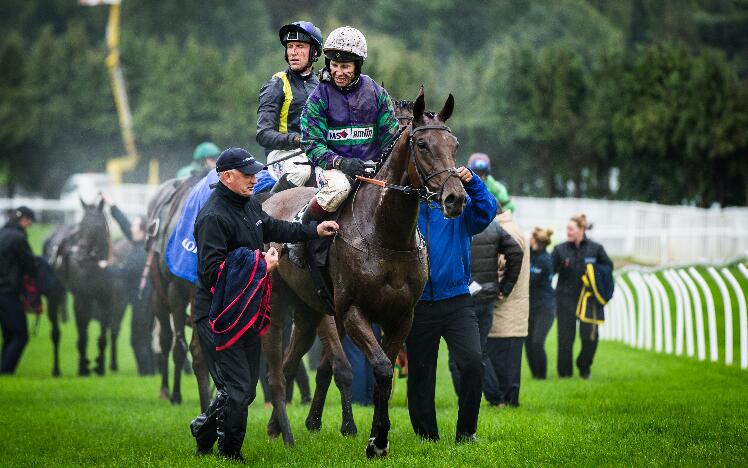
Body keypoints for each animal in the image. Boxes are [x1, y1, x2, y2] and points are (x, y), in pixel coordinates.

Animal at [260, 88, 464, 458]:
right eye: (422, 145)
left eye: (453, 144)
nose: (456, 198)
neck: (385, 235)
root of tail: (268, 203)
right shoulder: (352, 311)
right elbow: (381, 368)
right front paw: (374, 439)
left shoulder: (402, 316)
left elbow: (387, 375)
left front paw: (377, 438)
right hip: (277, 304)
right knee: (275, 371)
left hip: (309, 311)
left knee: (290, 361)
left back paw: (274, 428)